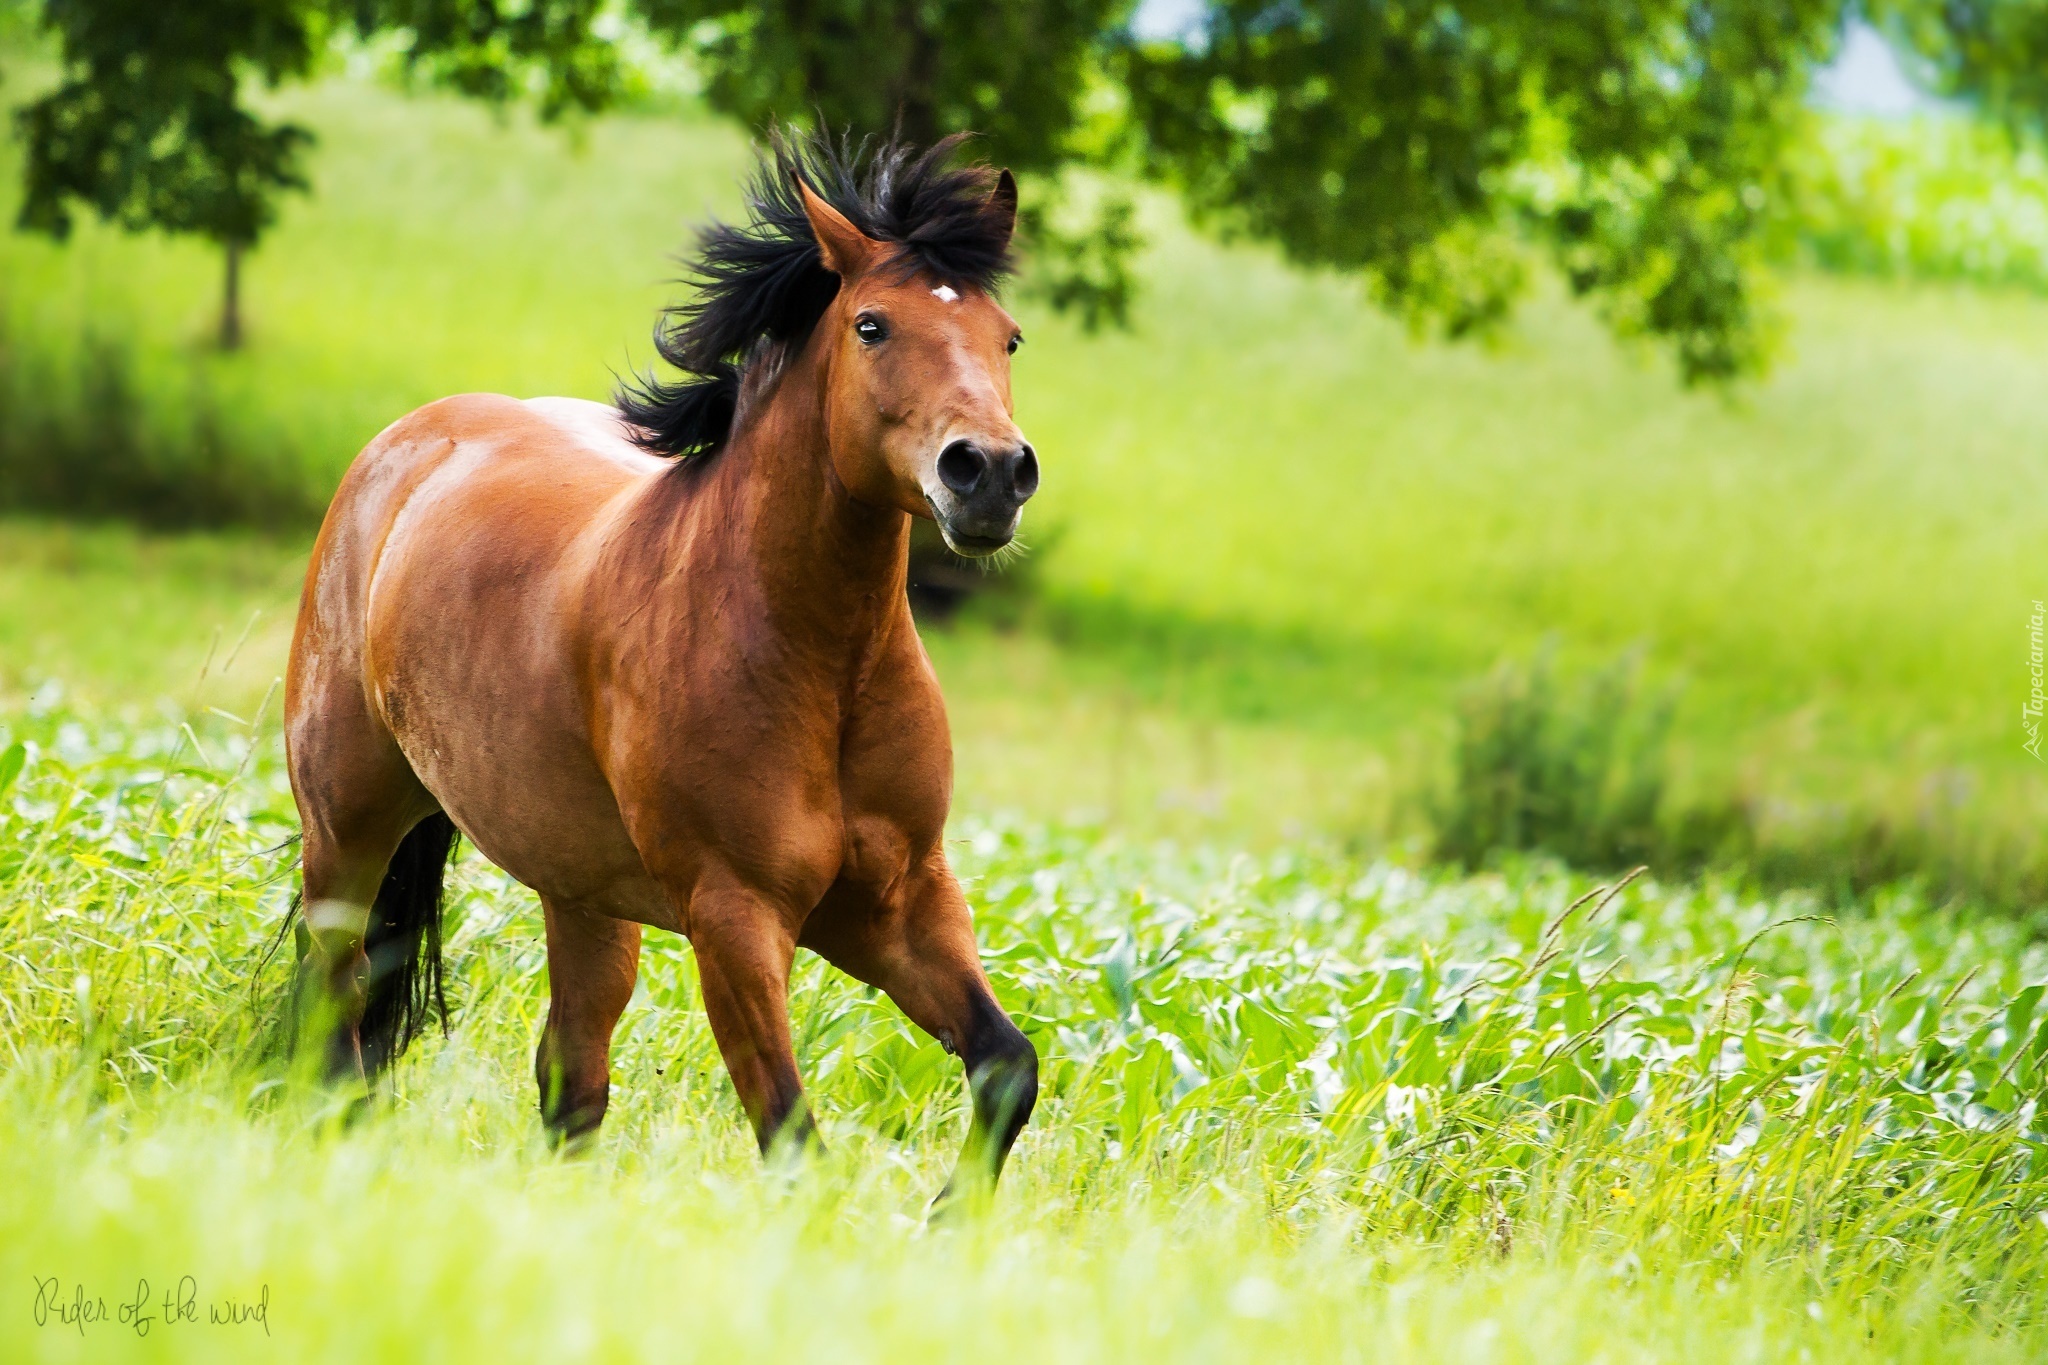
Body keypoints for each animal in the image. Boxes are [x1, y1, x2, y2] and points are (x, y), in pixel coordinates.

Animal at [284, 133, 1040, 1203]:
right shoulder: (735, 915)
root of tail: (406, 447)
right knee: (336, 1010)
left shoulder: (900, 901)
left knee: (569, 1080)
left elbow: (1007, 1065)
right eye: (872, 324)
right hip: (346, 832)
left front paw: (948, 1218)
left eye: (1007, 337)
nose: (990, 474)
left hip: (584, 899)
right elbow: (793, 1136)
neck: (823, 667)